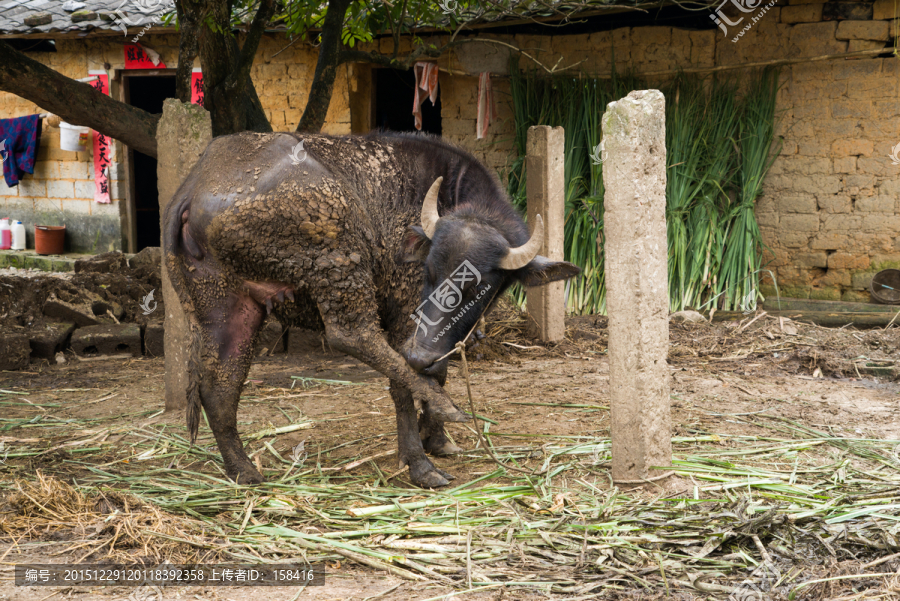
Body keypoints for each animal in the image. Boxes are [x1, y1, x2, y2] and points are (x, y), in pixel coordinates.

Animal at [164, 131, 580, 488]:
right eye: (429, 272)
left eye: (476, 287)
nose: (419, 353)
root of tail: (196, 185)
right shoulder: (405, 313)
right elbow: (409, 380)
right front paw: (420, 460)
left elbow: (439, 368)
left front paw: (437, 439)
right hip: (338, 263)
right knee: (355, 336)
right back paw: (446, 411)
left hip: (224, 301)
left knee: (219, 385)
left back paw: (243, 469)